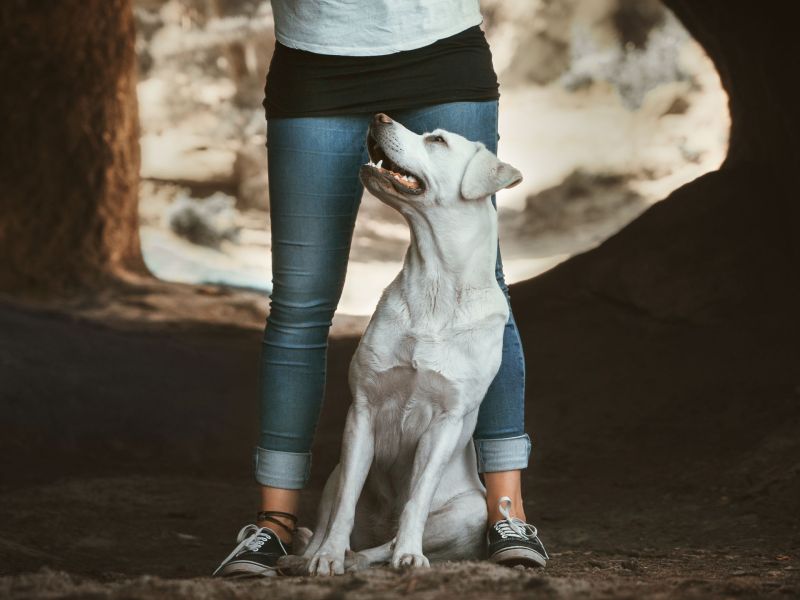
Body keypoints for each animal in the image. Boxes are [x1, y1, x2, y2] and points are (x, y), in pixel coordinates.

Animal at [290, 113, 520, 576]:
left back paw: (385, 553)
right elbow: (344, 508)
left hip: (472, 511)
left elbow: (416, 498)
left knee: (386, 542)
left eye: (437, 141)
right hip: (333, 473)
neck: (435, 283)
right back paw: (309, 555)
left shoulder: (446, 421)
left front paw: (410, 556)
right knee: (331, 522)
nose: (378, 115)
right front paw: (327, 557)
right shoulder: (363, 410)